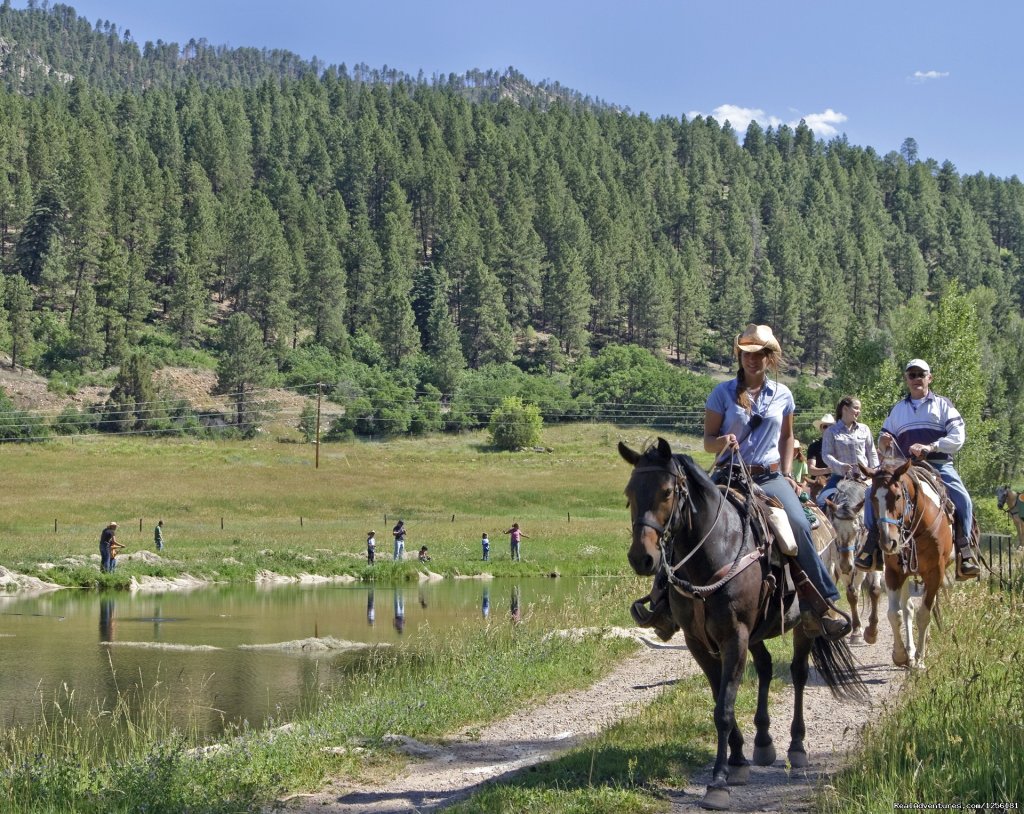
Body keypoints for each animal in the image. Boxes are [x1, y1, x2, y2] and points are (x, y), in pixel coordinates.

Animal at [614, 440, 864, 806]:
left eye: (666, 492)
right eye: (629, 493)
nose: (641, 558)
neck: (715, 550)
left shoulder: (734, 637)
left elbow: (724, 709)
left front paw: (718, 782)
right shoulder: (699, 642)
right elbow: (720, 698)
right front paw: (737, 761)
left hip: (803, 625)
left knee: (799, 673)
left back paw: (797, 747)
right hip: (756, 633)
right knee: (765, 668)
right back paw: (763, 743)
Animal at [819, 477, 884, 643]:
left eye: (858, 529)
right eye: (834, 529)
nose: (846, 565)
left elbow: (875, 590)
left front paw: (872, 632)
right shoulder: (841, 565)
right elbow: (852, 595)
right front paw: (856, 630)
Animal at [868, 458, 954, 667]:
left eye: (898, 496)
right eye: (872, 498)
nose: (888, 542)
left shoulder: (935, 574)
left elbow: (924, 615)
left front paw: (921, 660)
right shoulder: (893, 573)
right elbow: (895, 614)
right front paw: (900, 655)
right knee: (908, 610)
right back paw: (910, 650)